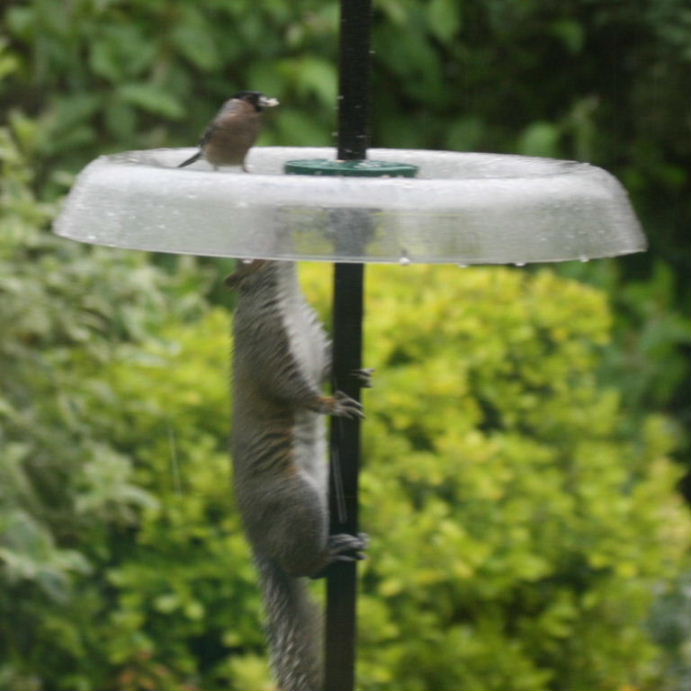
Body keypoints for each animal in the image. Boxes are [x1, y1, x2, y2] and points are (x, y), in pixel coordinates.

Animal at [227, 259, 368, 691]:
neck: (286, 294)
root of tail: (259, 537)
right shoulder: (267, 344)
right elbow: (292, 389)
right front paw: (332, 405)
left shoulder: (317, 346)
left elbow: (326, 367)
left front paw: (362, 374)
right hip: (298, 501)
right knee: (301, 567)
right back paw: (328, 553)